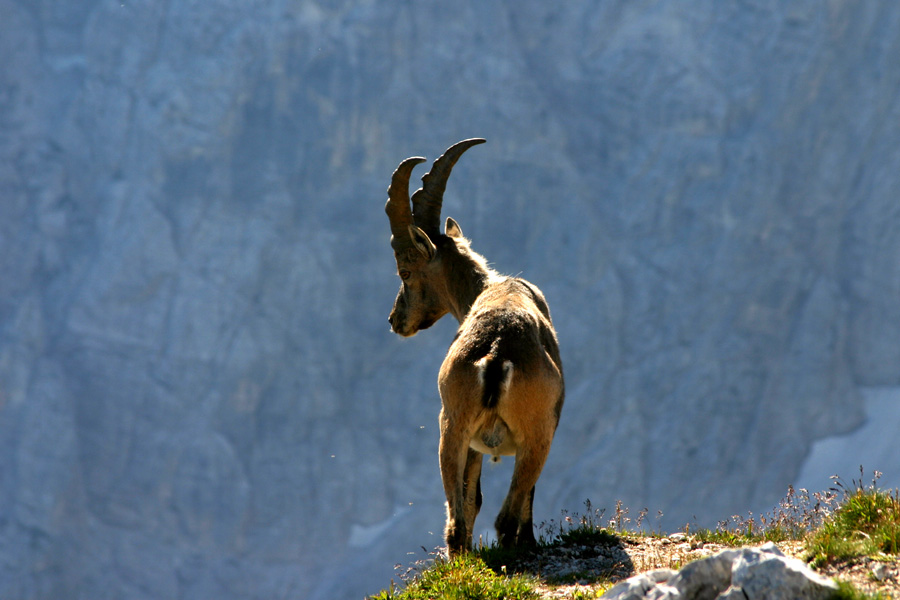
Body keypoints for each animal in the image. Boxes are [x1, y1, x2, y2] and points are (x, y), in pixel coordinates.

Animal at [383, 138, 565, 556]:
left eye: (405, 271)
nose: (395, 320)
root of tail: (497, 354)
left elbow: (472, 498)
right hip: (532, 435)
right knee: (505, 514)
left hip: (453, 426)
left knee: (458, 520)